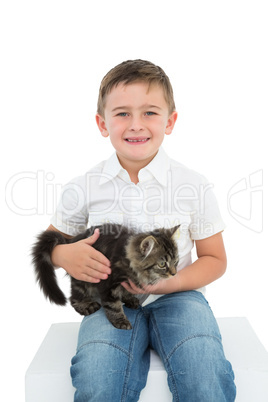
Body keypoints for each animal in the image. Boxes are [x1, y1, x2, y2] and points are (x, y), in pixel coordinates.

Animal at [33, 223, 180, 330]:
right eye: (162, 264)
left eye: (175, 261)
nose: (174, 273)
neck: (128, 261)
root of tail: (73, 241)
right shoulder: (108, 283)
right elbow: (113, 306)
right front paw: (120, 321)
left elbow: (126, 292)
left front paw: (129, 298)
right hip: (82, 278)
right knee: (74, 297)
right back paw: (86, 305)